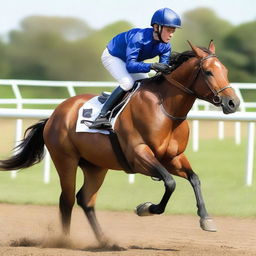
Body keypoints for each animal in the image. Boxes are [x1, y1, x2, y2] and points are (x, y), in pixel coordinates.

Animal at [0, 41, 240, 245]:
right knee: (66, 199)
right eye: (208, 71)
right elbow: (170, 183)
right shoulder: (139, 155)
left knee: (85, 199)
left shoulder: (173, 158)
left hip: (96, 166)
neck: (165, 110)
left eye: (225, 70)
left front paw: (206, 219)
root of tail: (55, 113)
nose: (233, 102)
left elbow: (195, 179)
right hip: (65, 160)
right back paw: (64, 241)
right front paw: (146, 208)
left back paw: (104, 241)